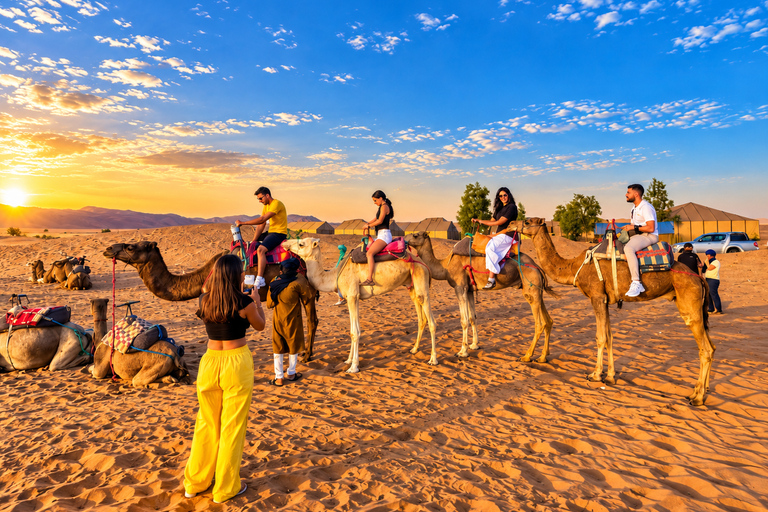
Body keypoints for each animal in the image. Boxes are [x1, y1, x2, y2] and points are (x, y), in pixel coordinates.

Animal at [282, 238, 437, 373]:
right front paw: (348, 361)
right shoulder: (351, 298)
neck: (332, 276)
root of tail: (423, 263)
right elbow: (352, 332)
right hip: (411, 285)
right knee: (421, 317)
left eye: (301, 244)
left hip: (421, 278)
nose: (285, 243)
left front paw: (354, 367)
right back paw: (414, 349)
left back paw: (433, 359)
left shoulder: (352, 295)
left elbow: (355, 332)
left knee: (431, 321)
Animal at [405, 231, 557, 361]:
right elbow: (473, 317)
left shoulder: (460, 287)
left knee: (539, 323)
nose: (404, 239)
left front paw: (462, 352)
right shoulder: (470, 290)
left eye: (415, 235)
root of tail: (537, 266)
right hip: (537, 290)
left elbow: (464, 320)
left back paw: (527, 356)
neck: (445, 266)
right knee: (548, 320)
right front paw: (474, 345)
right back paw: (543, 357)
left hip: (530, 285)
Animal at [511, 217, 715, 406]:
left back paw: (697, 398)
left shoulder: (596, 297)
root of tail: (698, 277)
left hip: (689, 304)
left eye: (527, 221)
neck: (574, 266)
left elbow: (600, 337)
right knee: (711, 347)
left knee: (704, 349)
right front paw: (609, 377)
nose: (512, 223)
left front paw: (595, 375)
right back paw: (698, 392)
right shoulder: (606, 300)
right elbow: (609, 337)